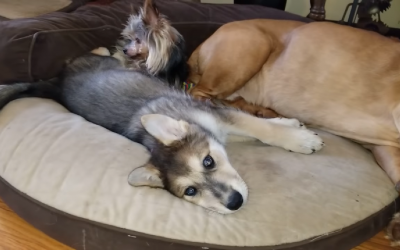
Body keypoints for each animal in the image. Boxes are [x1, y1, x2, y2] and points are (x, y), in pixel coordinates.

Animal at [0, 48, 324, 213]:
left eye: (209, 161)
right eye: (191, 191)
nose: (235, 203)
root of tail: (55, 81)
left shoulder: (218, 116)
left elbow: (259, 126)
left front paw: (295, 132)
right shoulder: (219, 122)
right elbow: (257, 127)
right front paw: (297, 135)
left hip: (103, 60)